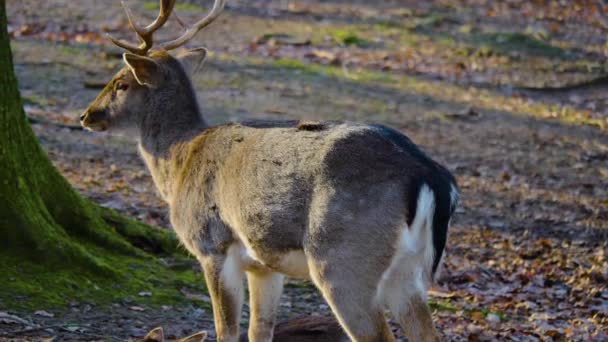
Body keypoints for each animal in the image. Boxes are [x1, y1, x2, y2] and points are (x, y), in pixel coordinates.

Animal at [81, 1, 458, 340]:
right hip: (407, 271)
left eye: (121, 83)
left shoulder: (213, 245)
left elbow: (226, 331)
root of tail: (429, 174)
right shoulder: (264, 266)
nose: (86, 115)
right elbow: (259, 330)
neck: (178, 161)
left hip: (343, 259)